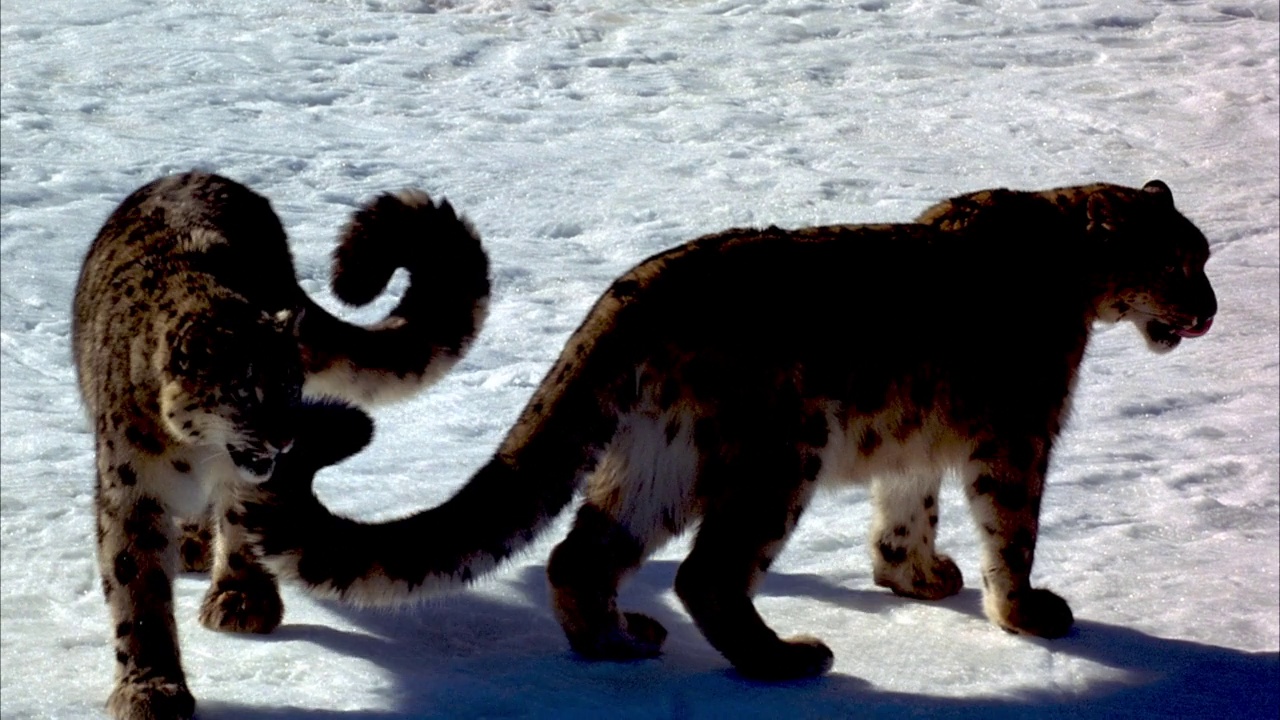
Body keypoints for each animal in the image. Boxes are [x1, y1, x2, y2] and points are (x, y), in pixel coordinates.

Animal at [71, 172, 488, 717]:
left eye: (291, 383)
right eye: (244, 391)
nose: (286, 437)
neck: (196, 456)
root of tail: (197, 172)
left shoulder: (251, 481)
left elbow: (245, 524)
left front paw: (242, 600)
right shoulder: (130, 487)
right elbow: (136, 589)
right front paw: (150, 687)